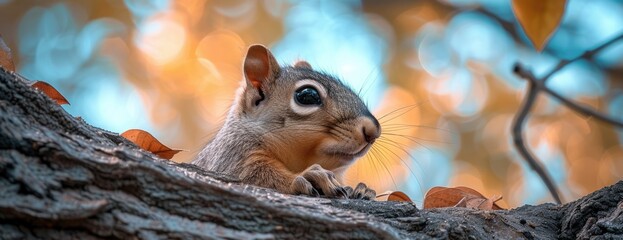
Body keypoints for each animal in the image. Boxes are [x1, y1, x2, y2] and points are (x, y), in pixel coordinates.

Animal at [195, 44, 380, 199]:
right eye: (308, 95)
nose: (373, 131)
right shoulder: (231, 155)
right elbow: (253, 175)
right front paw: (308, 176)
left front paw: (362, 191)